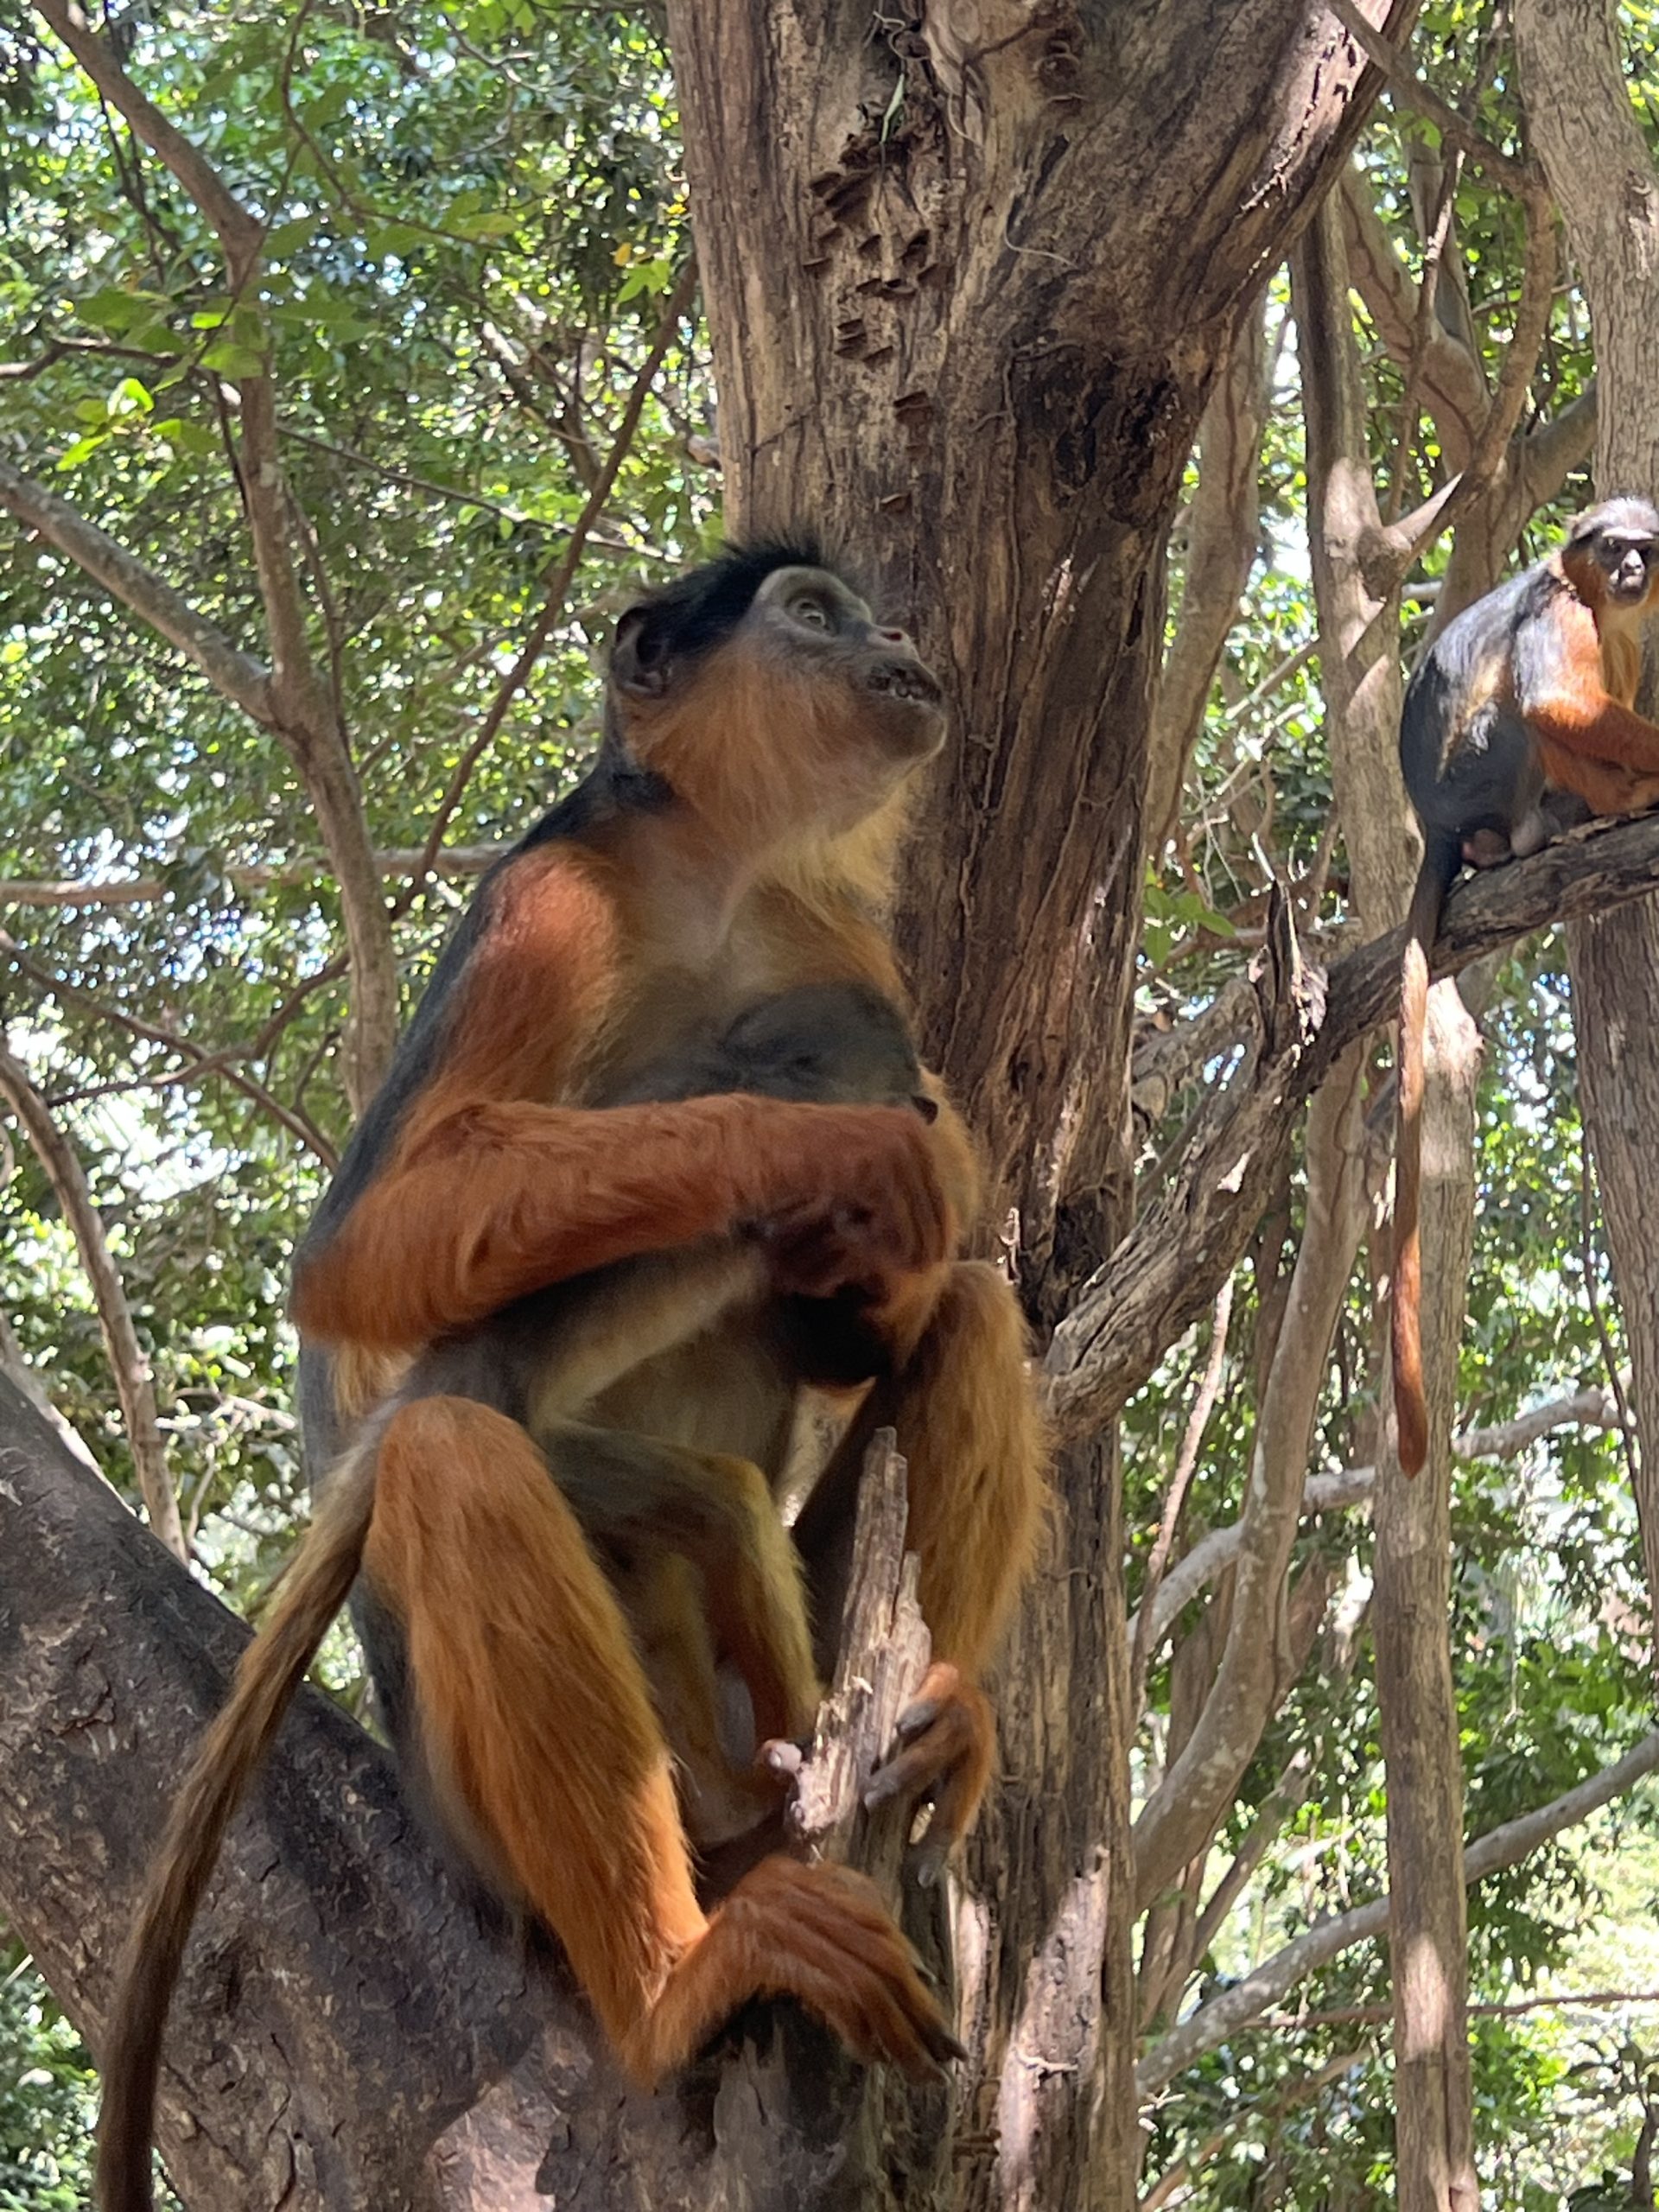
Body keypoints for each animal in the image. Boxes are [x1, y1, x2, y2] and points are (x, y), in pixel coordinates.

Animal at [1397, 493, 1659, 1478]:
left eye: (1644, 549)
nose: (1632, 571)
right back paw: (1576, 819)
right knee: (1530, 708)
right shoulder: (1563, 610)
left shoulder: (1621, 622)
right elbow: (1551, 698)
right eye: (1613, 547)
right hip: (1486, 768)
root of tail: (1437, 824)